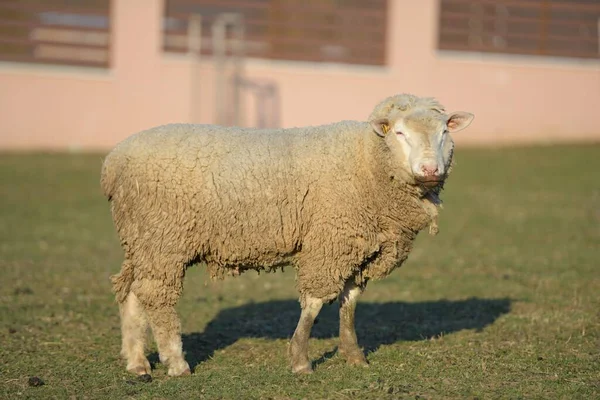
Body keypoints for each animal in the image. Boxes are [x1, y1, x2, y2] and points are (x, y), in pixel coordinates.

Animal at [101, 93, 476, 376]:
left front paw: (353, 355)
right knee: (156, 296)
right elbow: (314, 303)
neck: (367, 160)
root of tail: (114, 161)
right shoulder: (329, 241)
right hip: (163, 237)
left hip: (142, 239)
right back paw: (176, 363)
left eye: (445, 132)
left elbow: (350, 301)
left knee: (131, 291)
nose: (429, 169)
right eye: (399, 133)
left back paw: (137, 362)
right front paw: (300, 360)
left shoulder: (359, 246)